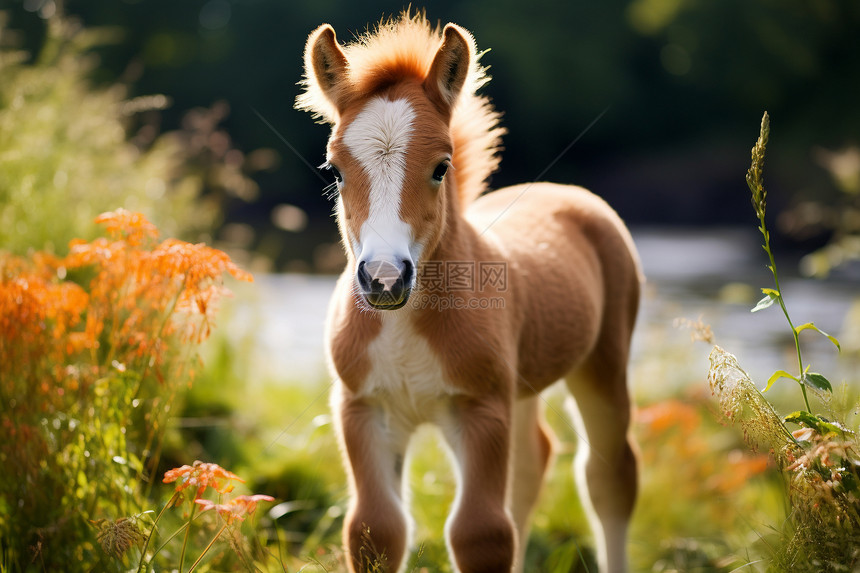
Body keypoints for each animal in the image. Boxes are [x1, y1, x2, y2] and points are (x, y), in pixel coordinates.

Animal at [298, 13, 640, 572]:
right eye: (334, 169)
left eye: (441, 166)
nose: (385, 277)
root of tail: (564, 192)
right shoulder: (363, 409)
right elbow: (376, 528)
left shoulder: (481, 410)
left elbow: (481, 533)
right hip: (522, 387)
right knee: (532, 465)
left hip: (602, 365)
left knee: (609, 475)